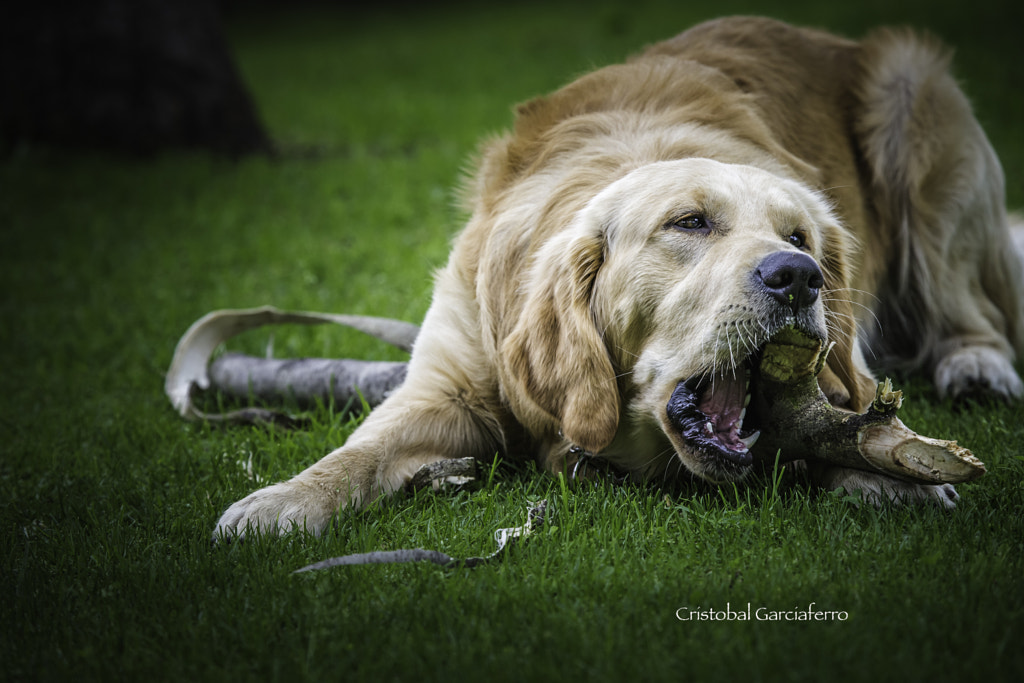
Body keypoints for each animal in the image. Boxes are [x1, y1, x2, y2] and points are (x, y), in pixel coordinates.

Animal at [211, 17, 1019, 540]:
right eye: (690, 223)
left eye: (798, 237)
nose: (798, 276)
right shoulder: (447, 382)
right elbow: (360, 450)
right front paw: (282, 500)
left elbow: (846, 415)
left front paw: (884, 474)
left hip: (917, 104)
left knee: (968, 309)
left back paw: (976, 363)